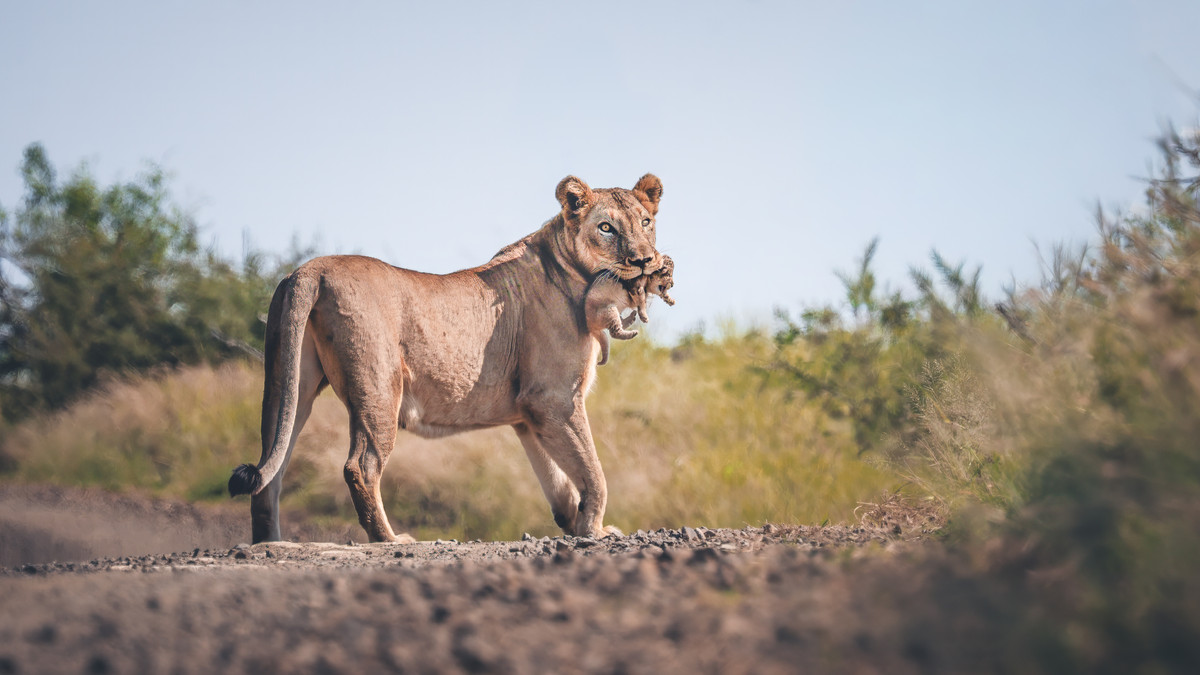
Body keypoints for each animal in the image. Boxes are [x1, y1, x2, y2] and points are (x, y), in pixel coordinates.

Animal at [228, 174, 666, 544]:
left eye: (645, 222)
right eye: (606, 228)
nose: (645, 260)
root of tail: (311, 268)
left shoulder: (529, 415)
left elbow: (556, 479)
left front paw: (574, 522)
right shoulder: (554, 399)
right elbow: (593, 471)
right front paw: (595, 530)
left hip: (287, 383)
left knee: (271, 466)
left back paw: (269, 543)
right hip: (378, 389)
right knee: (360, 467)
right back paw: (390, 540)